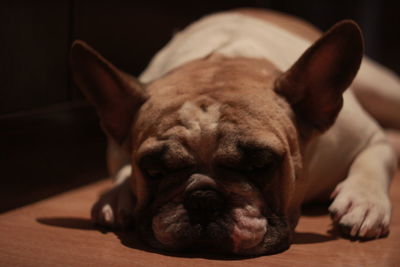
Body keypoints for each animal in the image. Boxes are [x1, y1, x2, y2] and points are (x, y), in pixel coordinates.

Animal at [70, 8, 400, 255]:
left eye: (260, 165)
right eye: (153, 171)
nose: (203, 199)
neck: (224, 60)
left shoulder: (368, 138)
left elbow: (374, 159)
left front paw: (364, 200)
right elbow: (122, 168)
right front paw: (117, 194)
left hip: (381, 88)